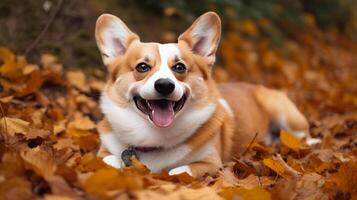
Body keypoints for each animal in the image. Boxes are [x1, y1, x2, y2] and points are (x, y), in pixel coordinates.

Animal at [94, 12, 318, 177]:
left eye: (179, 67)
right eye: (142, 67)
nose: (165, 85)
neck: (153, 136)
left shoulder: (210, 163)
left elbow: (178, 171)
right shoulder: (104, 152)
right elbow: (109, 160)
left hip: (285, 115)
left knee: (302, 137)